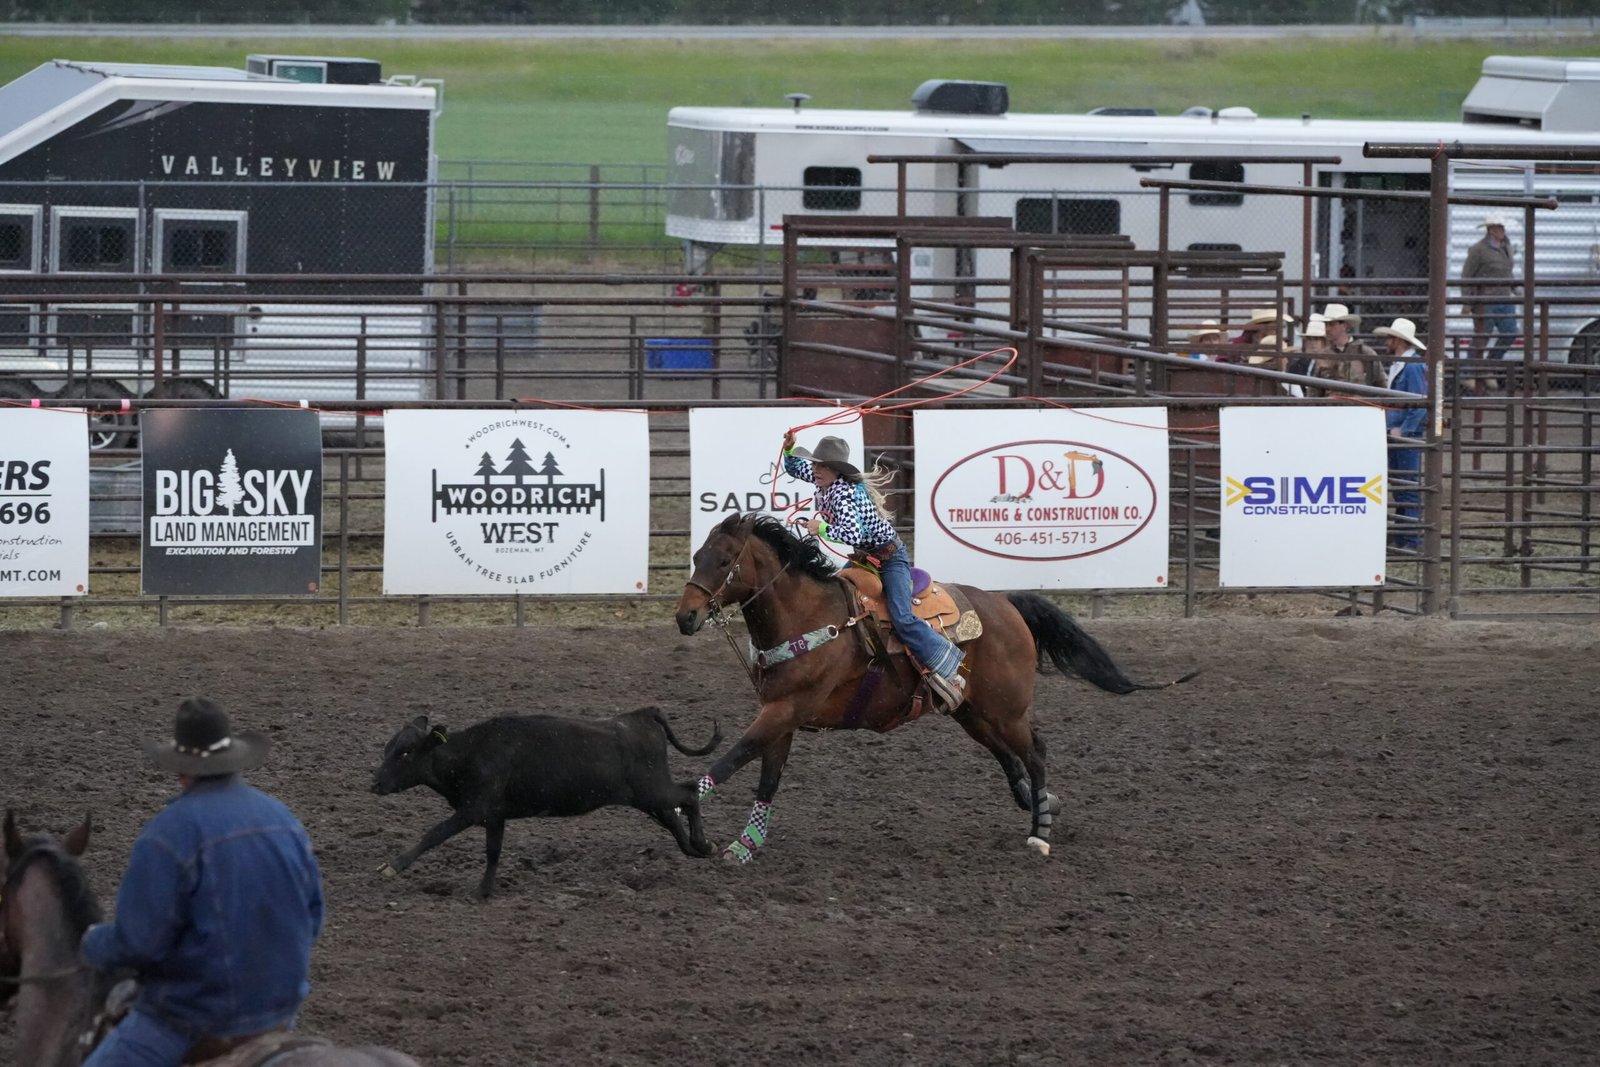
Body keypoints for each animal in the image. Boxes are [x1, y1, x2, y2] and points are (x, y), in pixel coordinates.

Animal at [371, 707, 721, 899]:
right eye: (388, 748)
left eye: (405, 752)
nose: (375, 783)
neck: (469, 753)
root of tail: (642, 715)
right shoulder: (495, 815)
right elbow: (493, 852)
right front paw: (483, 891)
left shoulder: (473, 809)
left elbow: (435, 833)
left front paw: (393, 866)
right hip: (645, 795)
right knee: (674, 813)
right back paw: (696, 848)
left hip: (653, 789)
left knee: (689, 793)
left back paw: (702, 843)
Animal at [674, 513, 1191, 862]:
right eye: (697, 556)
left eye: (724, 560)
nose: (685, 617)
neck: (807, 615)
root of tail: (1007, 605)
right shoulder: (782, 714)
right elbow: (767, 776)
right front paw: (744, 845)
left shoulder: (787, 709)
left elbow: (735, 755)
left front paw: (683, 812)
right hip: (970, 710)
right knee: (1007, 756)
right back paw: (1042, 803)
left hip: (1006, 710)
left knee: (1035, 753)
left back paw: (1040, 832)